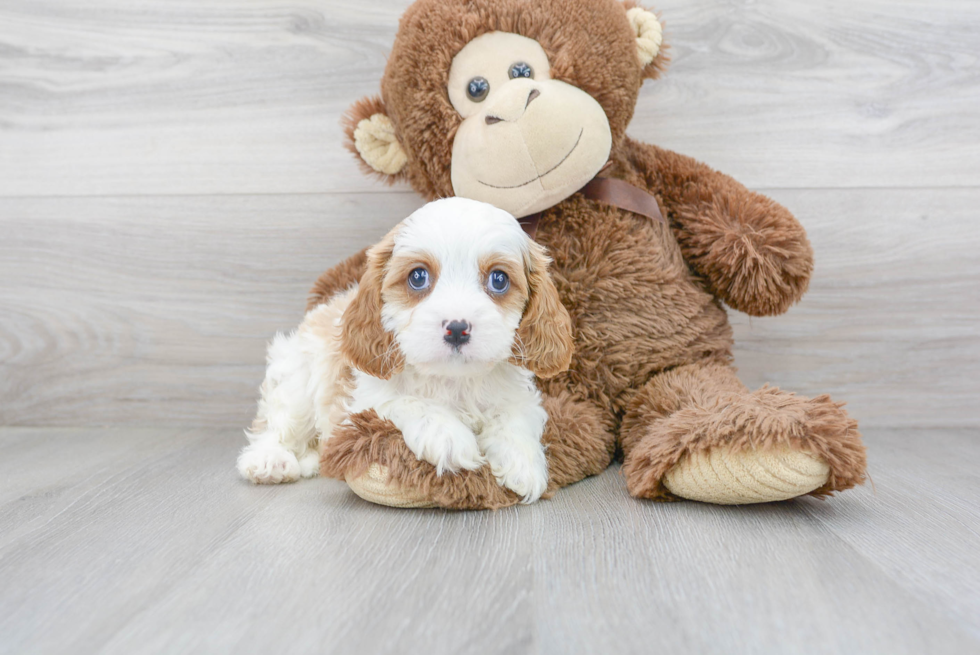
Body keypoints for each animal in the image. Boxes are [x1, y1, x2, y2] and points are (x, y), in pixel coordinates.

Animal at [237, 197, 576, 504]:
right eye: (418, 277)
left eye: (499, 279)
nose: (457, 328)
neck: (453, 380)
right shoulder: (363, 402)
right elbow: (407, 401)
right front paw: (449, 436)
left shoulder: (518, 393)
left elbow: (516, 415)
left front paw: (523, 462)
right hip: (295, 379)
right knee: (275, 426)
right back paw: (270, 460)